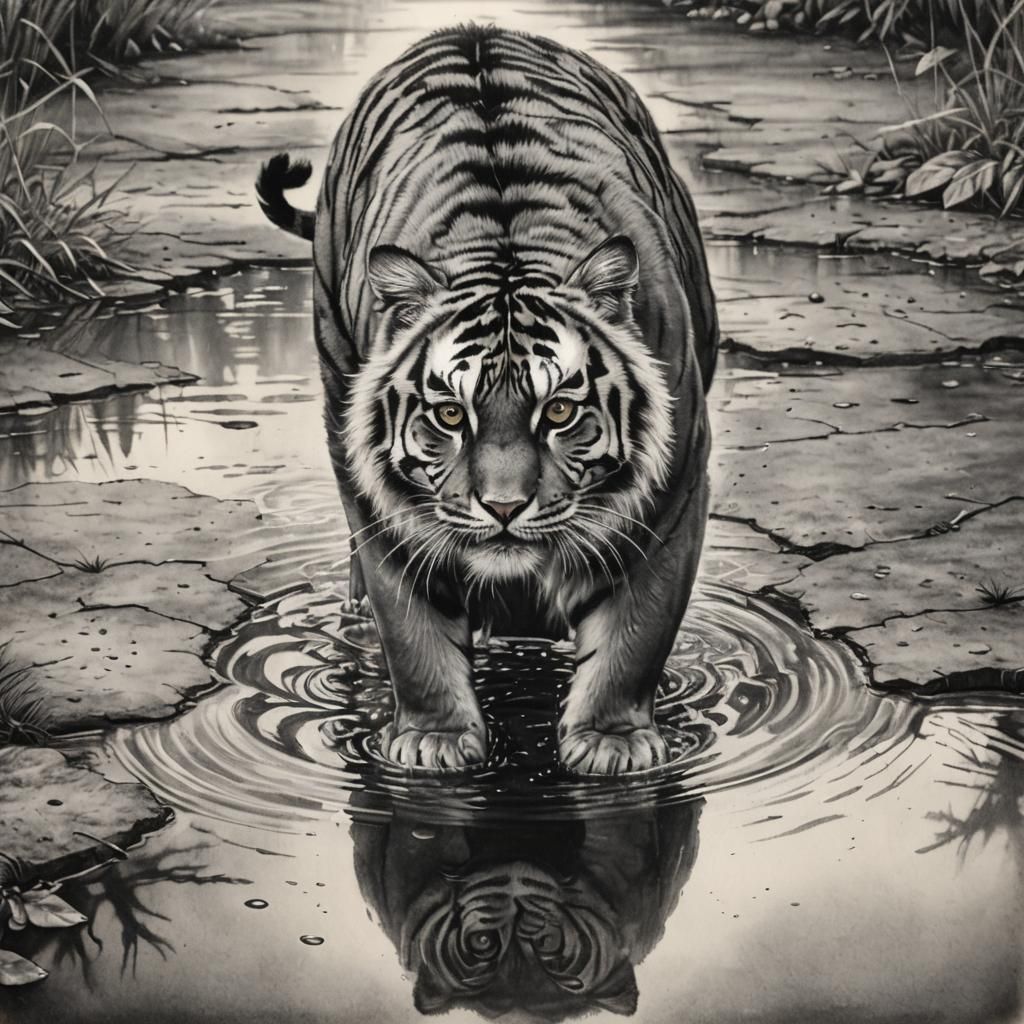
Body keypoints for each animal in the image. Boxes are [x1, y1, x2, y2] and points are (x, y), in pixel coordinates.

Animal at [255, 24, 718, 774]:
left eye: (559, 411)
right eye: (450, 414)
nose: (503, 509)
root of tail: (473, 29)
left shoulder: (671, 492)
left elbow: (636, 634)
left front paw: (612, 743)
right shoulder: (386, 510)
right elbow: (412, 632)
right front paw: (433, 740)